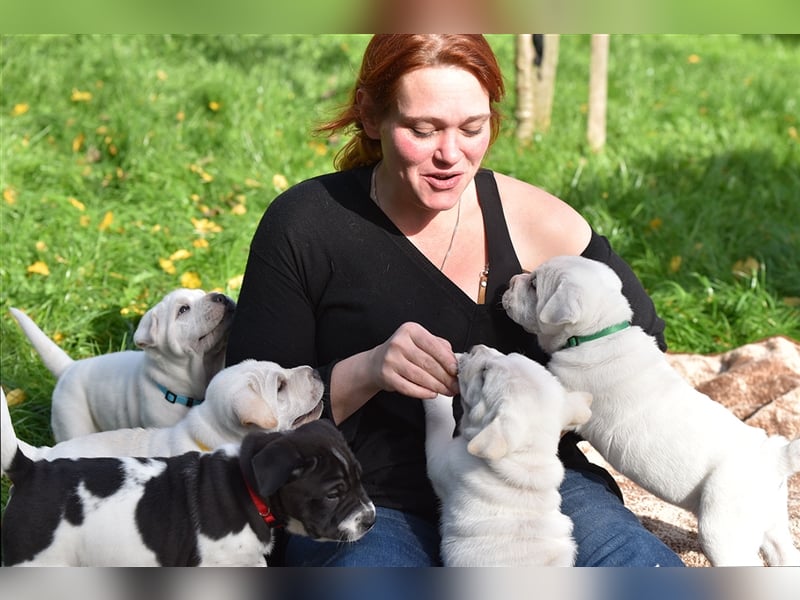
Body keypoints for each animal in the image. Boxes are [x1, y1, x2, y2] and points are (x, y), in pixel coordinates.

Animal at [422, 344, 592, 564]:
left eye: (484, 374)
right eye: (509, 354)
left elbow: (439, 417)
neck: (525, 459)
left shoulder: (443, 462)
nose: (477, 347)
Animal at [504, 255, 800, 564]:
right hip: (773, 523)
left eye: (534, 285)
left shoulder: (566, 391)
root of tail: (775, 458)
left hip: (723, 529)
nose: (510, 281)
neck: (597, 334)